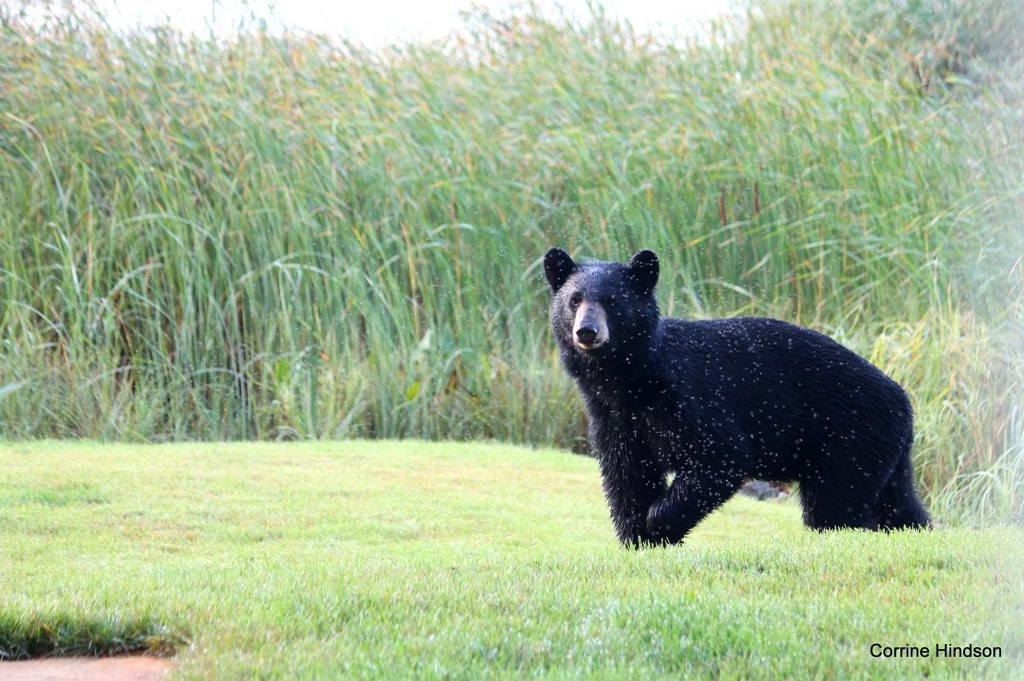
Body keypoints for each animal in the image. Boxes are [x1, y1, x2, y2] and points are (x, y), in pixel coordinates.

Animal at [543, 247, 930, 547]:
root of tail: (905, 402)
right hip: (880, 453)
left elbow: (721, 456)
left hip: (850, 439)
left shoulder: (692, 399)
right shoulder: (615, 418)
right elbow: (627, 473)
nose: (587, 331)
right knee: (898, 505)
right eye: (574, 300)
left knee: (836, 507)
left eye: (613, 301)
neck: (632, 382)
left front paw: (658, 525)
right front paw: (636, 536)